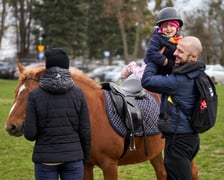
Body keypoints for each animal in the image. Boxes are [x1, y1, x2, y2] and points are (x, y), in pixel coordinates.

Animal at [4, 62, 198, 180]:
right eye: (16, 93)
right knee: (162, 173)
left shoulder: (110, 165)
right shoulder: (86, 166)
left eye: (31, 95)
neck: (94, 116)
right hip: (155, 151)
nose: (10, 126)